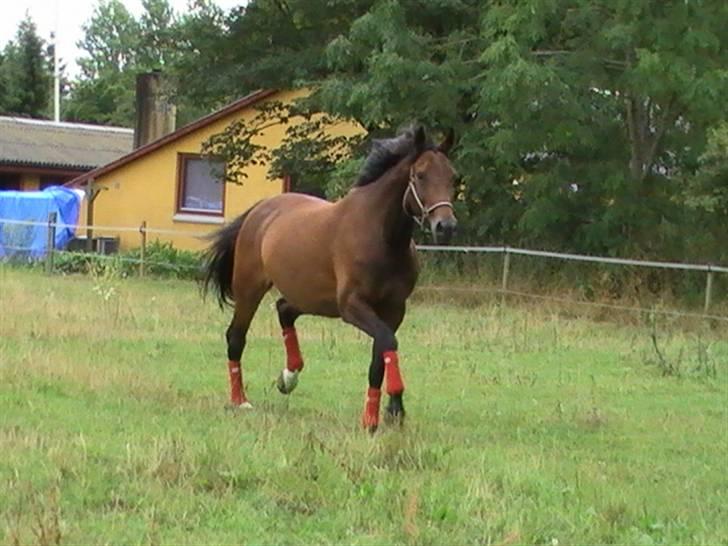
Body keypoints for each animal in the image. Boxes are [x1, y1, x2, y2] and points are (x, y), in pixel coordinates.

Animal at [202, 126, 458, 430]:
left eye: (454, 177)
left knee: (284, 309)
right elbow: (388, 342)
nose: (446, 226)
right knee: (236, 336)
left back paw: (288, 376)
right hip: (250, 288)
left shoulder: (394, 309)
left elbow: (380, 355)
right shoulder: (352, 306)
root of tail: (260, 209)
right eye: (420, 175)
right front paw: (386, 409)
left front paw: (382, 413)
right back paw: (240, 399)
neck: (381, 237)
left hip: (312, 298)